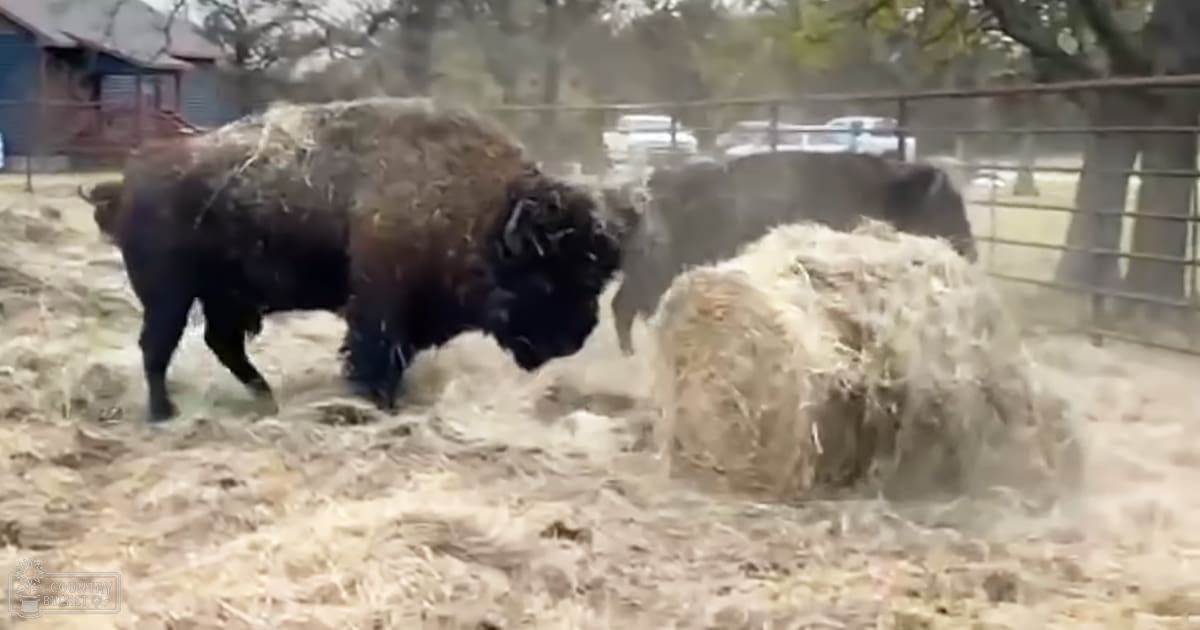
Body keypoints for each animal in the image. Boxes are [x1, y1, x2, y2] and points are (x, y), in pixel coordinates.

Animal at [88, 98, 625, 423]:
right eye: (548, 275)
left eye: (596, 278)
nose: (577, 336)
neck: (481, 210)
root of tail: (128, 182)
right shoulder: (380, 306)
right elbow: (375, 354)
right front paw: (377, 403)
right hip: (169, 297)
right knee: (157, 348)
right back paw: (164, 413)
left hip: (223, 298)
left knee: (222, 344)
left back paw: (266, 399)